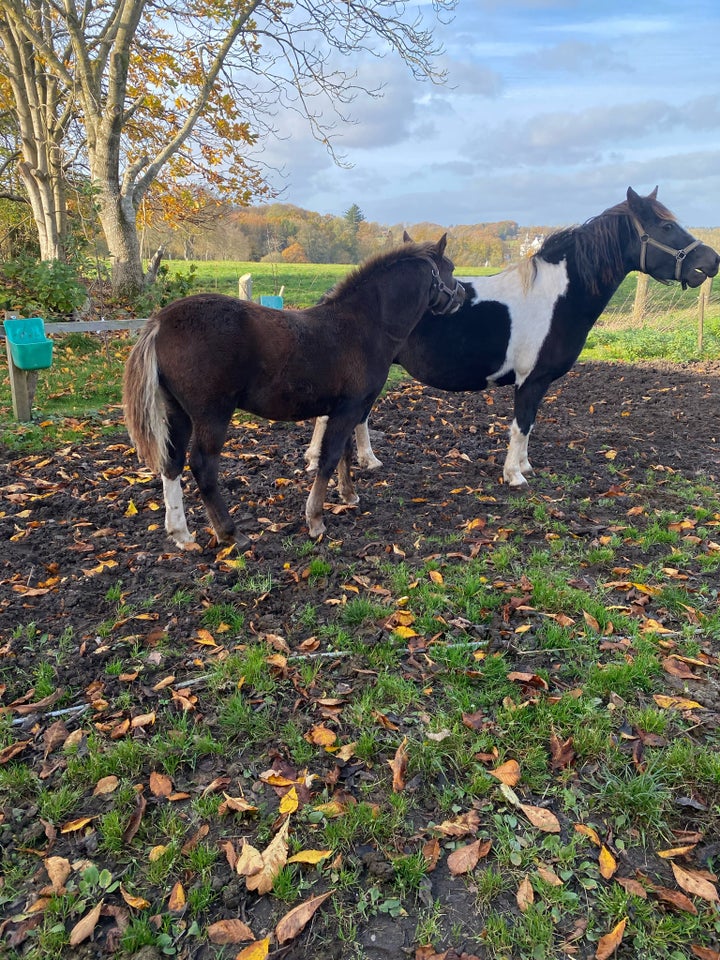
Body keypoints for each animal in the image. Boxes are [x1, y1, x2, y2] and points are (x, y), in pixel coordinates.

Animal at [122, 237, 462, 552]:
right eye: (450, 268)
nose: (460, 296)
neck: (363, 325)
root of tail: (160, 322)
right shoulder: (350, 408)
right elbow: (329, 457)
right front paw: (315, 519)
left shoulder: (343, 409)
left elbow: (344, 454)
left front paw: (349, 495)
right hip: (212, 414)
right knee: (203, 467)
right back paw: (231, 533)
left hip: (177, 413)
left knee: (172, 463)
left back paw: (181, 534)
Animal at [306, 188, 720, 488]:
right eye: (665, 228)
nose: (711, 261)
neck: (557, 297)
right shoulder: (530, 380)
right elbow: (520, 426)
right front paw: (514, 475)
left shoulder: (539, 383)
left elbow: (529, 425)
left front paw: (525, 466)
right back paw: (322, 461)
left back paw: (364, 460)